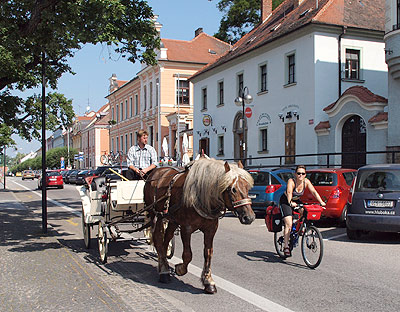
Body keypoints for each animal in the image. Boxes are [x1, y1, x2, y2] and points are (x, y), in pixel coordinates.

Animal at [145, 160, 255, 294]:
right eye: (233, 189)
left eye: (247, 187)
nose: (249, 217)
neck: (201, 197)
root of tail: (156, 172)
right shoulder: (186, 228)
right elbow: (188, 254)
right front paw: (180, 269)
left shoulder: (210, 230)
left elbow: (208, 254)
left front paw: (208, 281)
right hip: (156, 216)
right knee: (158, 240)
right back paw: (164, 271)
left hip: (172, 220)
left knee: (166, 239)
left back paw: (164, 264)